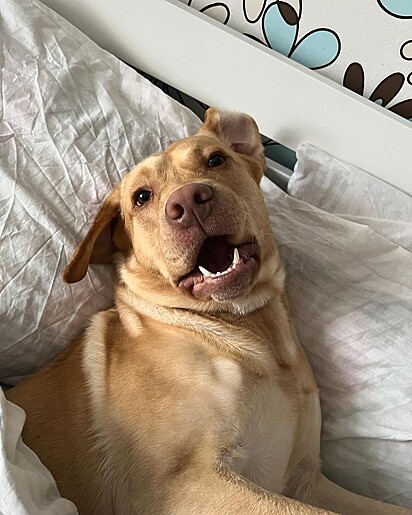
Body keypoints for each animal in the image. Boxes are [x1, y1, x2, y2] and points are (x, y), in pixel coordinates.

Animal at [6, 110, 408, 515]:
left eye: (216, 159)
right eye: (141, 197)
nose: (188, 201)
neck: (250, 326)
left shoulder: (305, 479)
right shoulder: (184, 485)